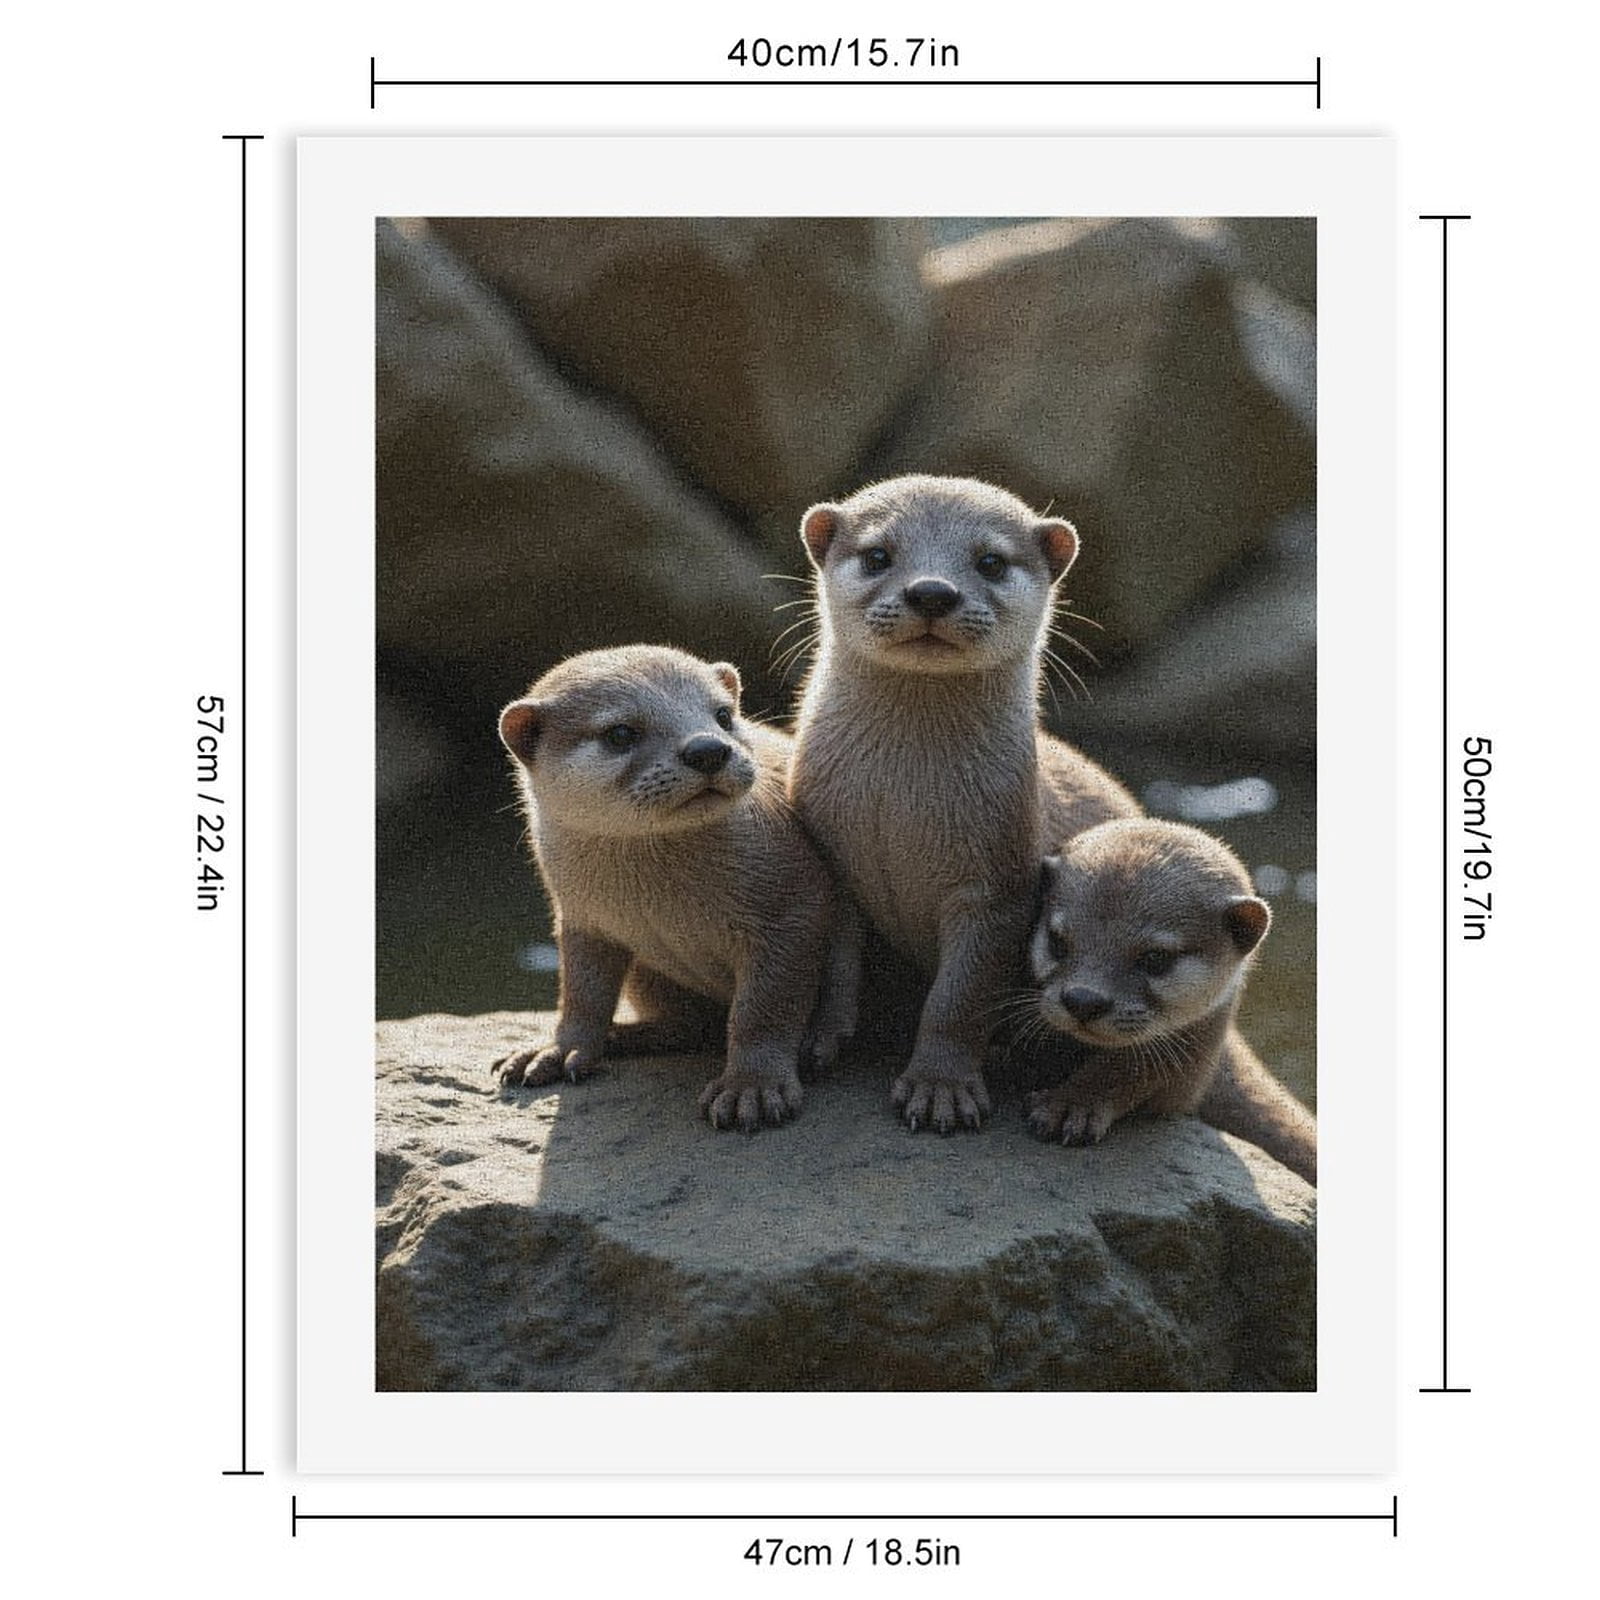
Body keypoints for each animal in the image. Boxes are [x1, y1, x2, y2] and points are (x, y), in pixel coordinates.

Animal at [492, 645, 857, 1131]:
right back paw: (627, 1037)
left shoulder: (793, 904)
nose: (708, 749)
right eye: (620, 733)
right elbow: (581, 992)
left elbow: (765, 1007)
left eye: (723, 715)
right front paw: (557, 1050)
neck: (661, 900)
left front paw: (752, 1087)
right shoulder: (580, 917)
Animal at [789, 475, 1138, 1134]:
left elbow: (960, 997)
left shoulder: (998, 885)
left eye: (991, 562)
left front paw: (940, 1087)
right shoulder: (832, 858)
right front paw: (817, 1041)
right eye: (878, 555)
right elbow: (835, 969)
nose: (931, 590)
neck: (898, 804)